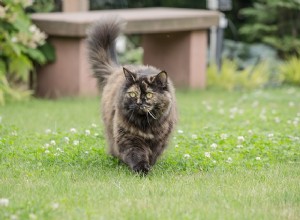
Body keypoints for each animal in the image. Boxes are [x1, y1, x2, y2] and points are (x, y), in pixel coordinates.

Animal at [86, 17, 177, 174]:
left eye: (149, 94)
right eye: (133, 94)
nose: (140, 102)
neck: (146, 125)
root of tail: (115, 70)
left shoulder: (160, 140)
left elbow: (153, 154)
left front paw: (149, 165)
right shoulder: (128, 138)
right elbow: (137, 154)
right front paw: (142, 169)